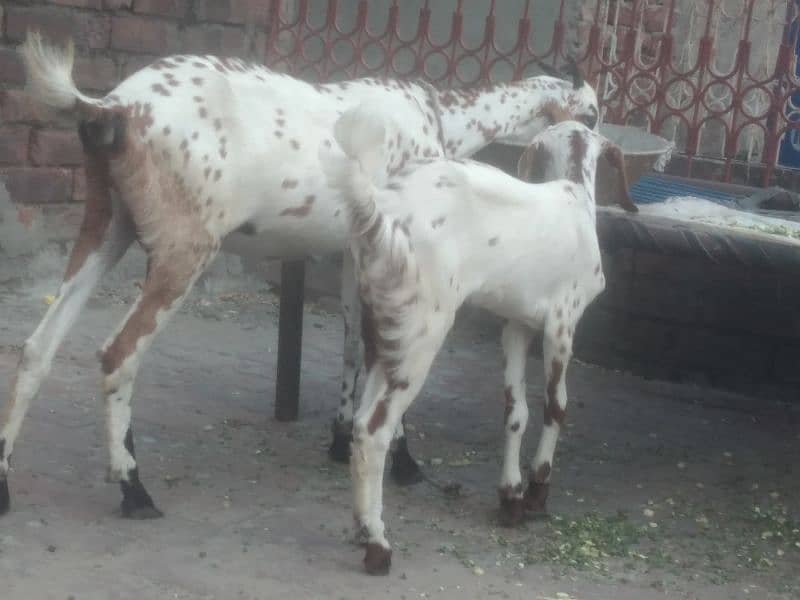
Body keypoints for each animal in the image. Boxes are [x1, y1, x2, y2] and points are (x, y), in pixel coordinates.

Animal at [0, 32, 600, 516]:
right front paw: (403, 462)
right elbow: (383, 350)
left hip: (107, 223)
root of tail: (112, 106)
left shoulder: (357, 252)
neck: (439, 119)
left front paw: (340, 438)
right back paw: (133, 489)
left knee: (37, 347)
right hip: (184, 245)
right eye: (592, 113)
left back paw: (7, 485)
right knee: (118, 354)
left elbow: (355, 343)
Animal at [326, 105, 636, 576]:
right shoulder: (562, 323)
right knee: (374, 431)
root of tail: (382, 208)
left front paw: (510, 496)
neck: (572, 196)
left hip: (382, 328)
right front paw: (537, 490)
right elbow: (555, 406)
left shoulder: (516, 325)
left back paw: (364, 527)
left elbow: (515, 411)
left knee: (363, 419)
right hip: (422, 330)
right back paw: (379, 546)